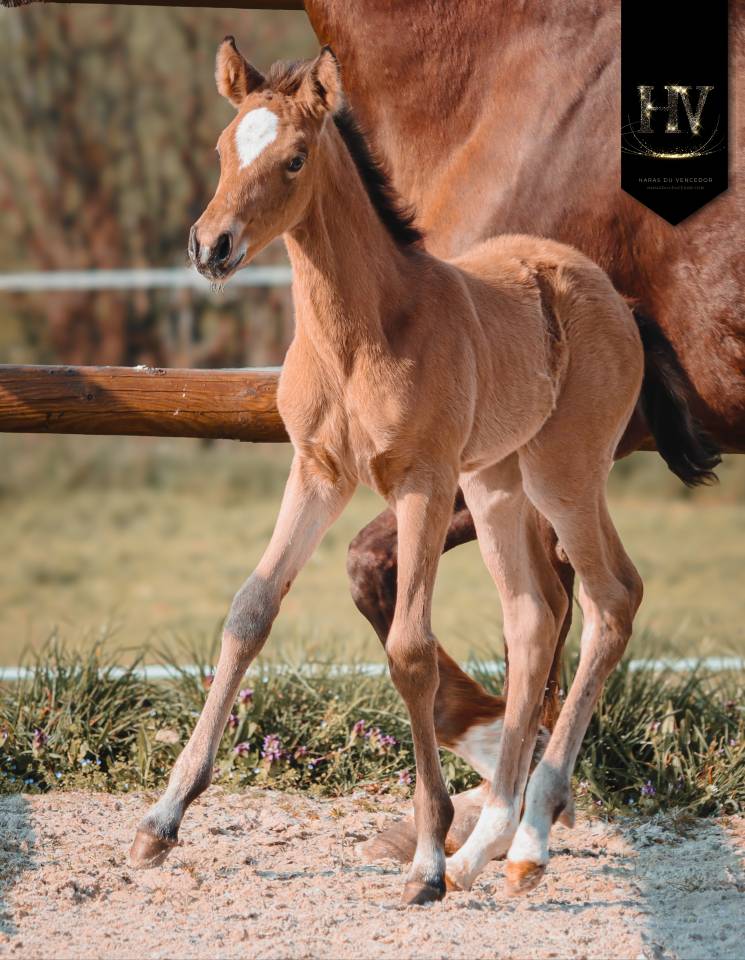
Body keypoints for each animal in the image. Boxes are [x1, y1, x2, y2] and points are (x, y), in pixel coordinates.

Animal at [130, 41, 718, 902]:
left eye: (294, 159)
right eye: (222, 149)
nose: (212, 247)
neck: (361, 332)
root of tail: (618, 297)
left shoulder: (421, 483)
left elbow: (409, 650)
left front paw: (428, 860)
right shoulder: (318, 473)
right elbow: (249, 612)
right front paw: (161, 820)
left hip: (561, 473)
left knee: (611, 597)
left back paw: (526, 839)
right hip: (498, 482)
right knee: (533, 617)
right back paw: (487, 844)